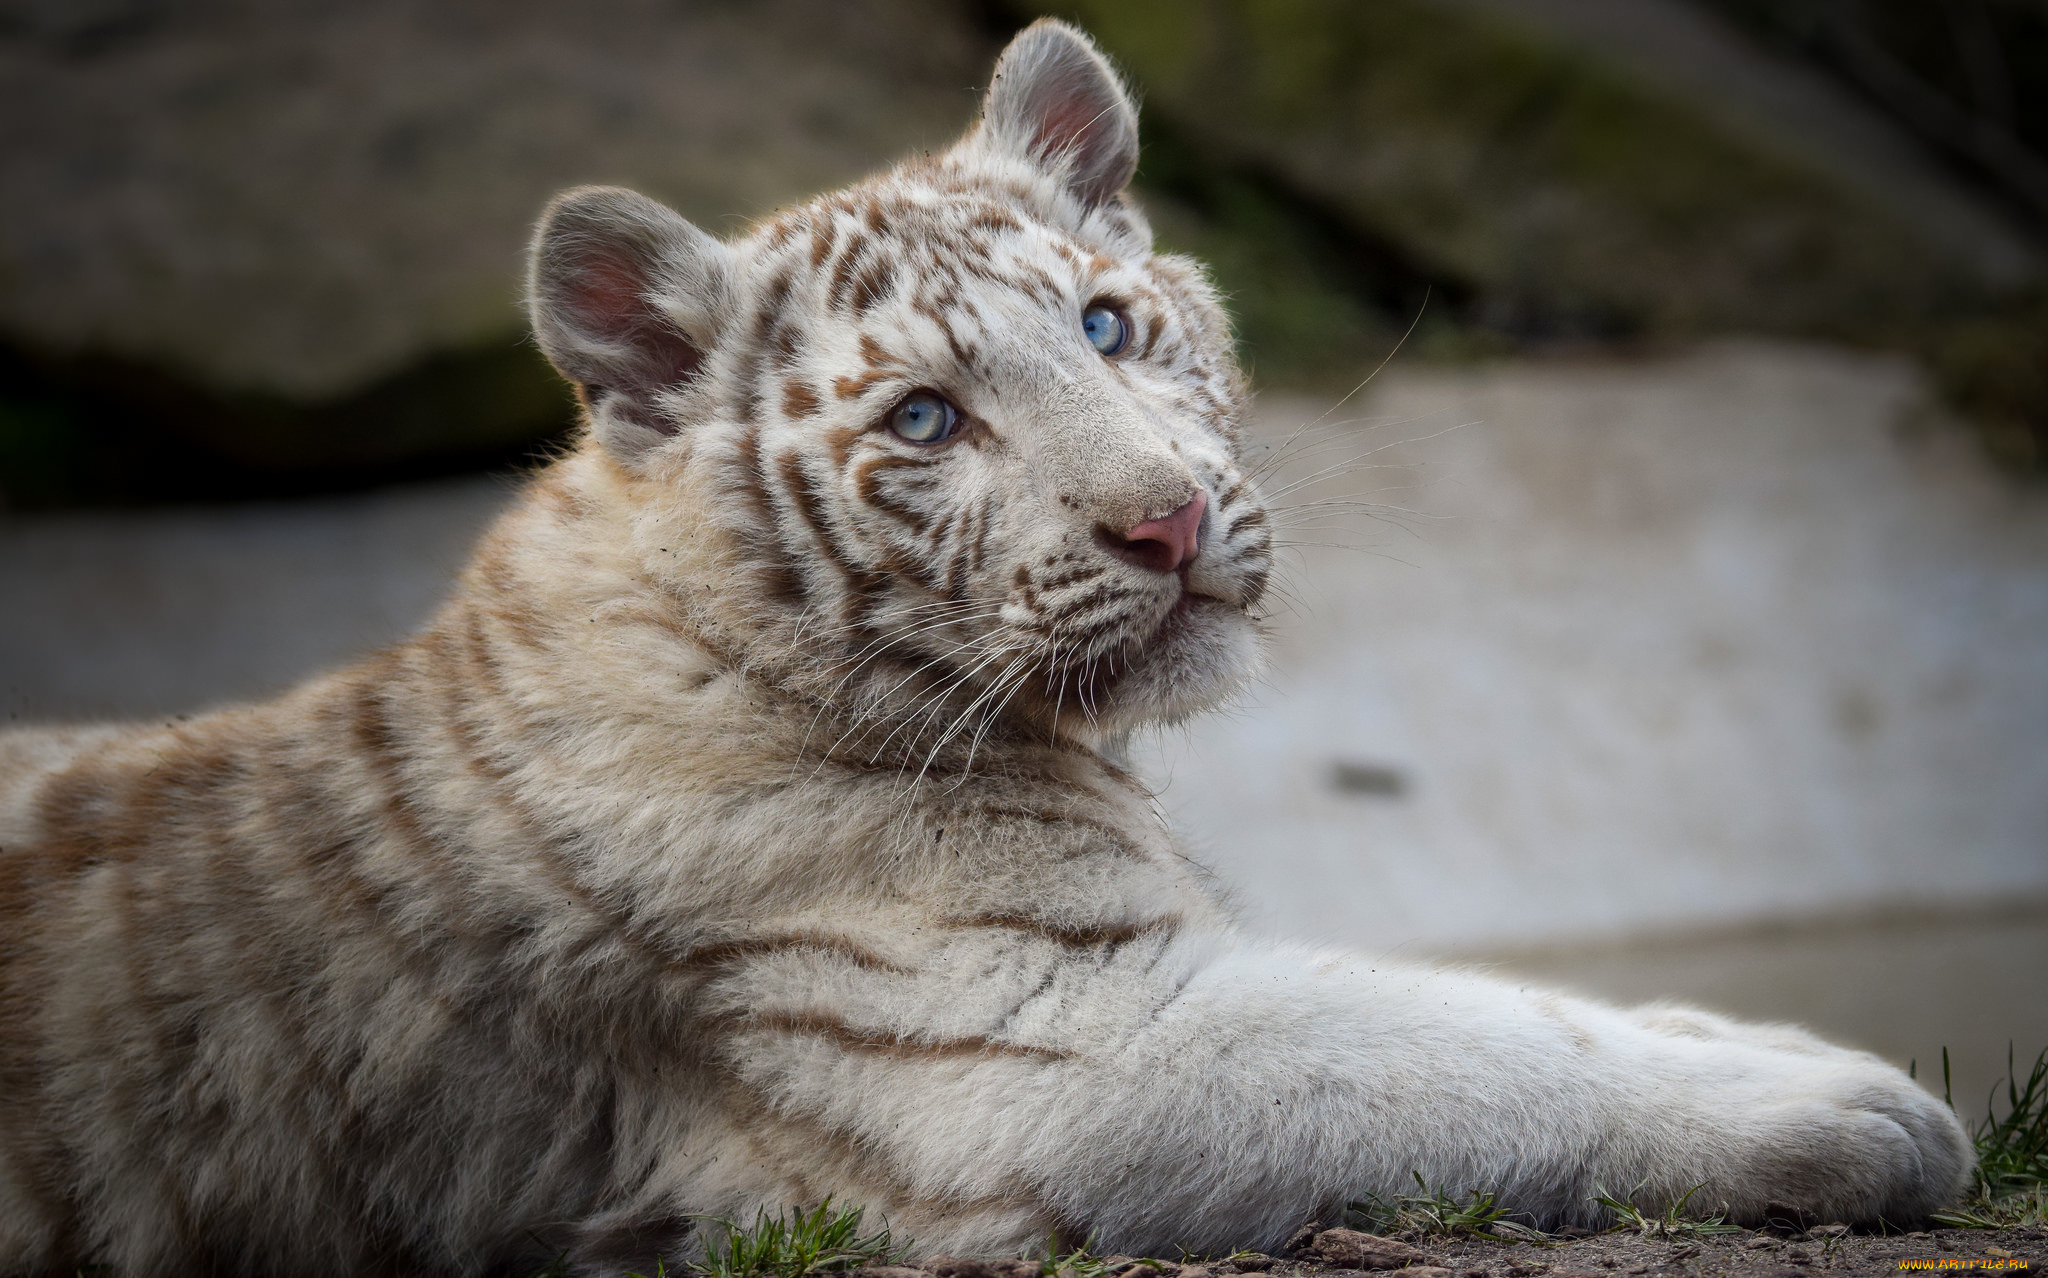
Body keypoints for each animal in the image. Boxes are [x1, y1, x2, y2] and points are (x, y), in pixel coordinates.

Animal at [0, 19, 1970, 1278]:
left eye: (1107, 324)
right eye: (929, 422)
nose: (1165, 522)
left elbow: (1513, 999)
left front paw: (1752, 1033)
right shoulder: (1045, 1048)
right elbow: (1464, 1056)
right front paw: (1849, 1107)